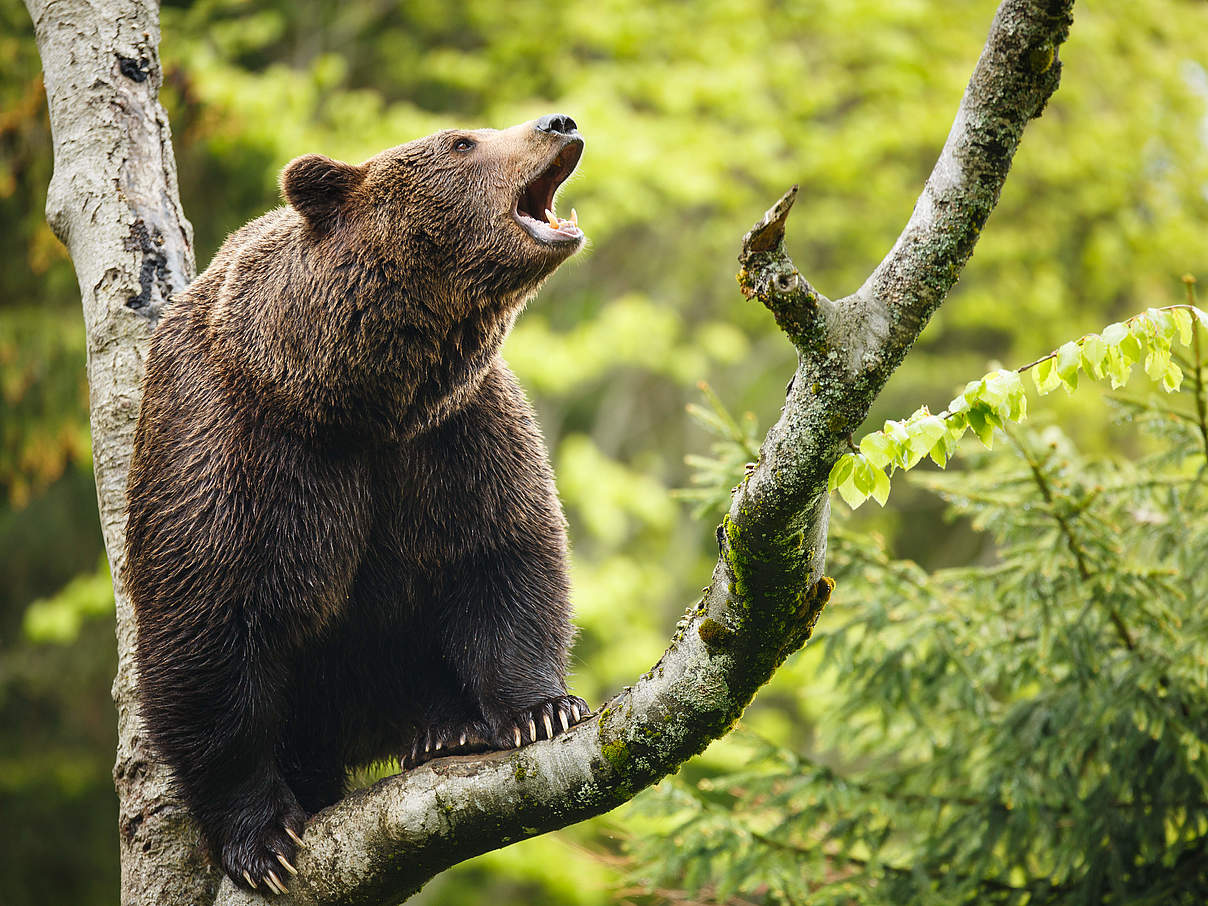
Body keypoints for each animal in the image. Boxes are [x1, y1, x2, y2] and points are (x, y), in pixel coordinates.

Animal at [123, 111, 594, 893]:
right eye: (462, 141)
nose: (560, 121)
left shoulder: (454, 433)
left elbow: (502, 554)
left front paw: (544, 710)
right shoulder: (243, 449)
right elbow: (211, 625)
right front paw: (262, 840)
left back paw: (445, 728)